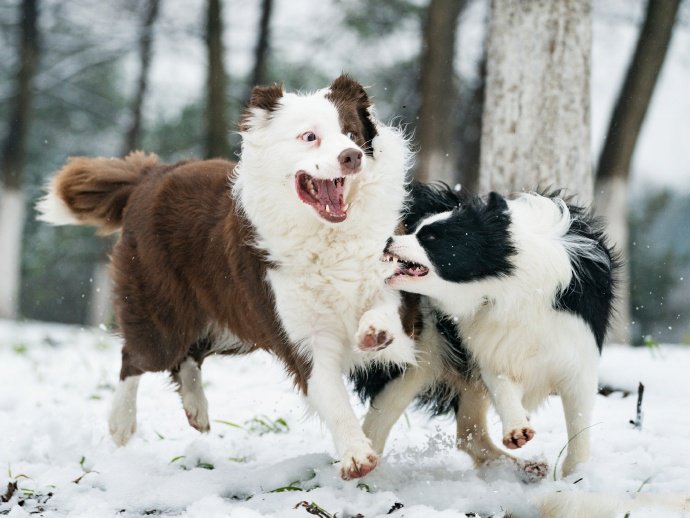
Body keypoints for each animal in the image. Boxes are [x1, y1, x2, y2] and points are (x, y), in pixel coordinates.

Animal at [40, 75, 416, 482]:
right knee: (138, 356)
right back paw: (121, 424)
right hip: (164, 312)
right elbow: (329, 393)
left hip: (233, 321)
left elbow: (388, 304)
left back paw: (196, 409)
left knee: (190, 356)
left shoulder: (390, 271)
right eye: (309, 136)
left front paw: (375, 330)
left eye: (351, 133)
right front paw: (356, 456)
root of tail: (151, 175)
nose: (352, 156)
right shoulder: (301, 334)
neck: (329, 236)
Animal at [354, 184, 612, 480]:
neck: (505, 287)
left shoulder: (577, 353)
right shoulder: (490, 345)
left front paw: (577, 475)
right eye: (414, 229)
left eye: (431, 237)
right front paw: (517, 431)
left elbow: (579, 419)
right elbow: (502, 384)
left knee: (469, 436)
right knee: (379, 423)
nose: (386, 239)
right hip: (421, 353)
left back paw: (523, 467)